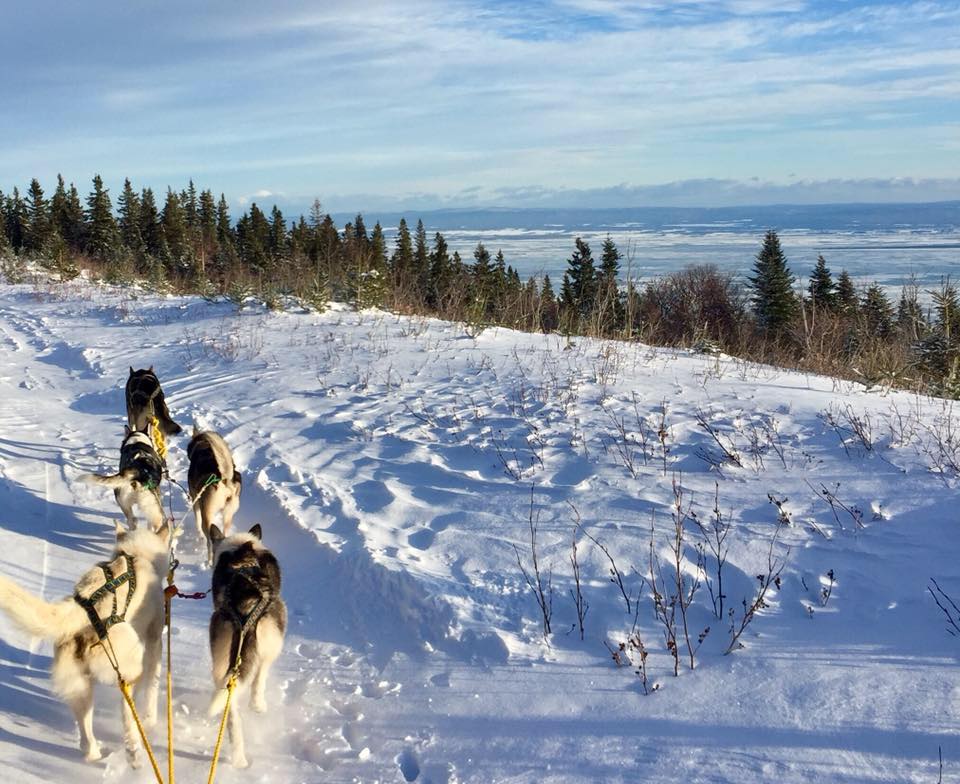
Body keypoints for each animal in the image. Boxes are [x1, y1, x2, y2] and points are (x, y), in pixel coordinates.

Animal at [0, 524, 169, 764]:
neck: (135, 555)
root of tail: (80, 611)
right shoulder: (155, 639)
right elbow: (153, 686)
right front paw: (151, 719)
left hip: (80, 688)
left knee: (85, 737)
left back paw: (95, 754)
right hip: (130, 667)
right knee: (128, 712)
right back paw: (134, 750)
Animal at [186, 428, 242, 564]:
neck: (203, 446)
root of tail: (225, 479)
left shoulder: (196, 502)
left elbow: (197, 521)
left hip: (207, 519)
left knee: (210, 543)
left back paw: (209, 562)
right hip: (228, 516)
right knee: (224, 536)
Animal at [208, 524, 286, 768]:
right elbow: (260, 675)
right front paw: (257, 704)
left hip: (222, 657)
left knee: (230, 704)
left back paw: (238, 757)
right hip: (274, 632)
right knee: (258, 675)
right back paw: (257, 704)